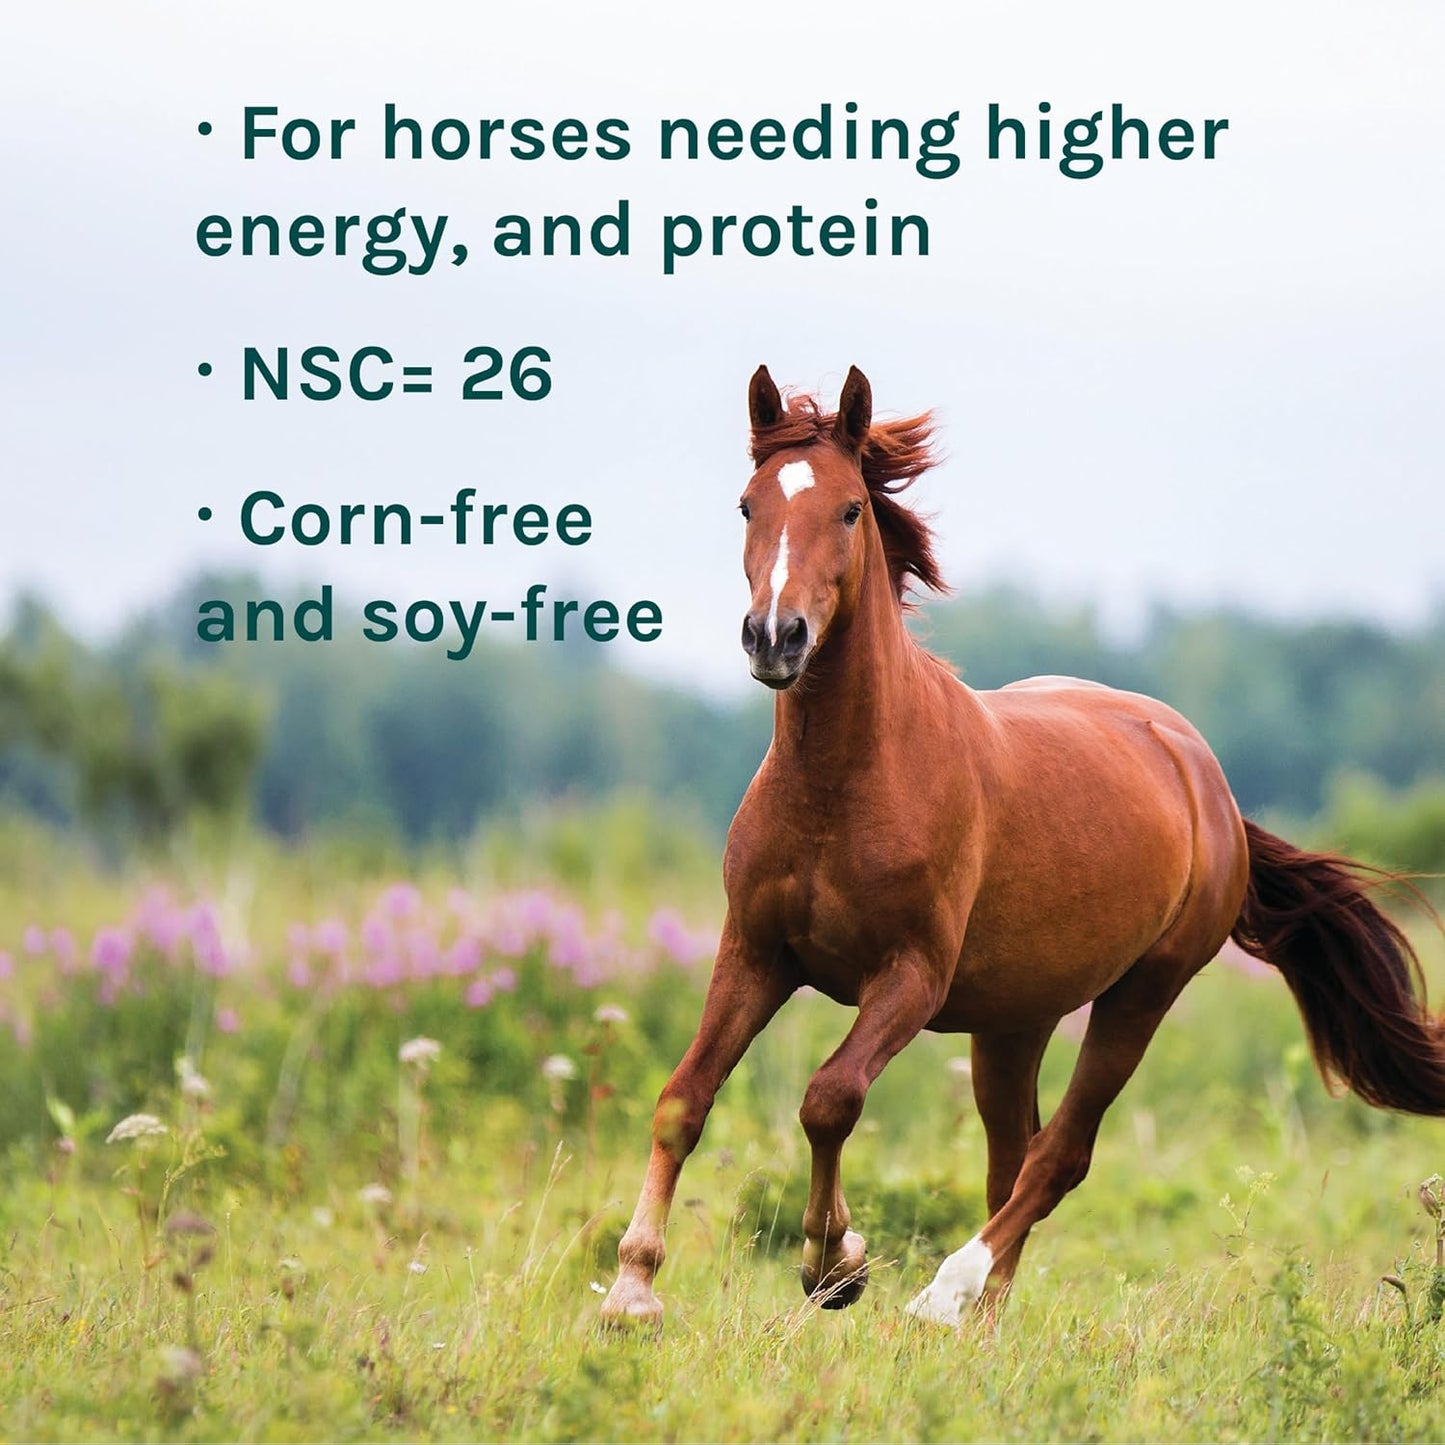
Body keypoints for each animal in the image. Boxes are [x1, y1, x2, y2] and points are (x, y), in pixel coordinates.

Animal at [599, 365, 1445, 1330]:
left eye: (849, 509)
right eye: (748, 505)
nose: (775, 638)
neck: (841, 785)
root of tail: (1205, 777)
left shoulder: (910, 977)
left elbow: (829, 1097)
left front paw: (832, 1264)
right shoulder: (755, 951)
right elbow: (684, 1097)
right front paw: (632, 1287)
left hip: (1141, 993)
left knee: (1058, 1154)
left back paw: (945, 1292)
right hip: (1014, 1019)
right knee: (1014, 1154)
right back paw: (984, 1321)